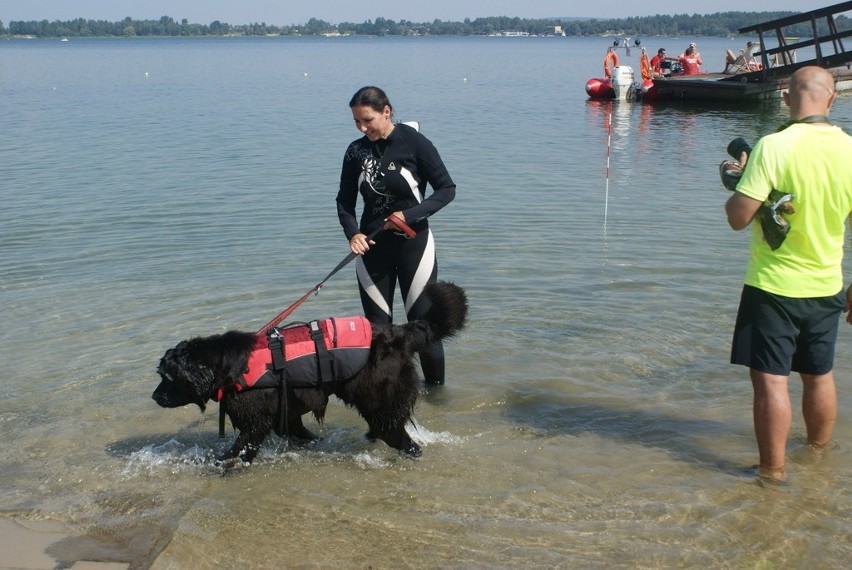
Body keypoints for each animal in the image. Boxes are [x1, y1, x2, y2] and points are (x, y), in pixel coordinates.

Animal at [151, 280, 466, 462]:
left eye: (168, 378)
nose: (155, 397)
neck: (227, 366)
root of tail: (401, 333)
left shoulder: (256, 418)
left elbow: (242, 445)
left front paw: (224, 463)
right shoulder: (286, 409)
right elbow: (297, 429)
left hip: (380, 398)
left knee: (399, 436)